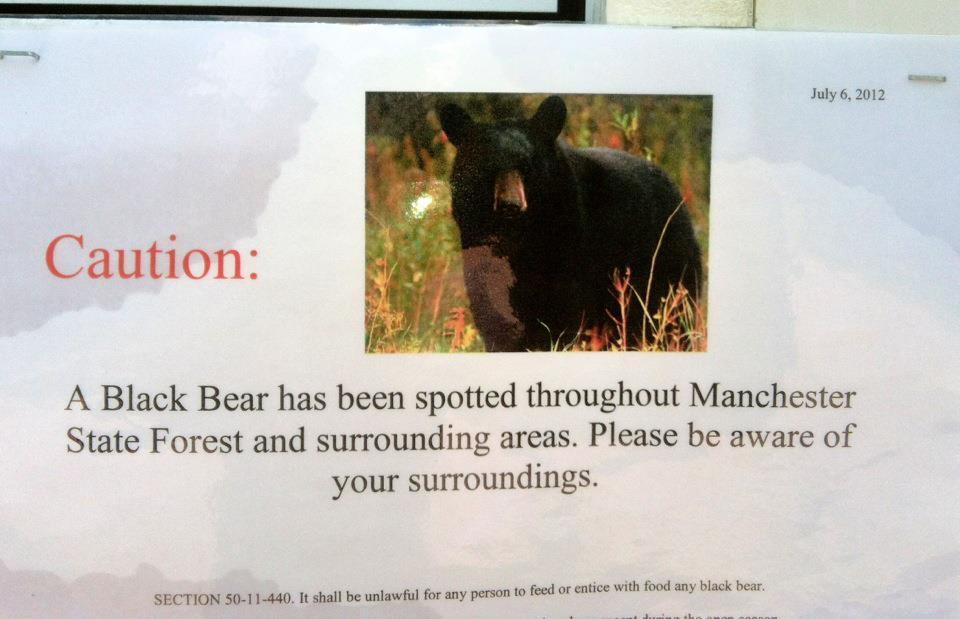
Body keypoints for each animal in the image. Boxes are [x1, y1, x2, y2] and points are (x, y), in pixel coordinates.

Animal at [438, 95, 703, 352]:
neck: (521, 235)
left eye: (528, 166)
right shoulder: (478, 242)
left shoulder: (572, 239)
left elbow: (563, 306)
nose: (510, 205)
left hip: (663, 258)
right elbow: (492, 302)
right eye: (488, 167)